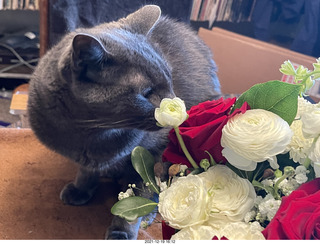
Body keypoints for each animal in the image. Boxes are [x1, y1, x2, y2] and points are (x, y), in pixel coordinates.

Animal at [27, 4, 221, 239]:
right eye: (146, 93)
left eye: (170, 79)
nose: (178, 108)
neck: (89, 131)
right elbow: (86, 171)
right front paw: (80, 189)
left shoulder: (154, 154)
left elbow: (139, 194)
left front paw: (122, 230)